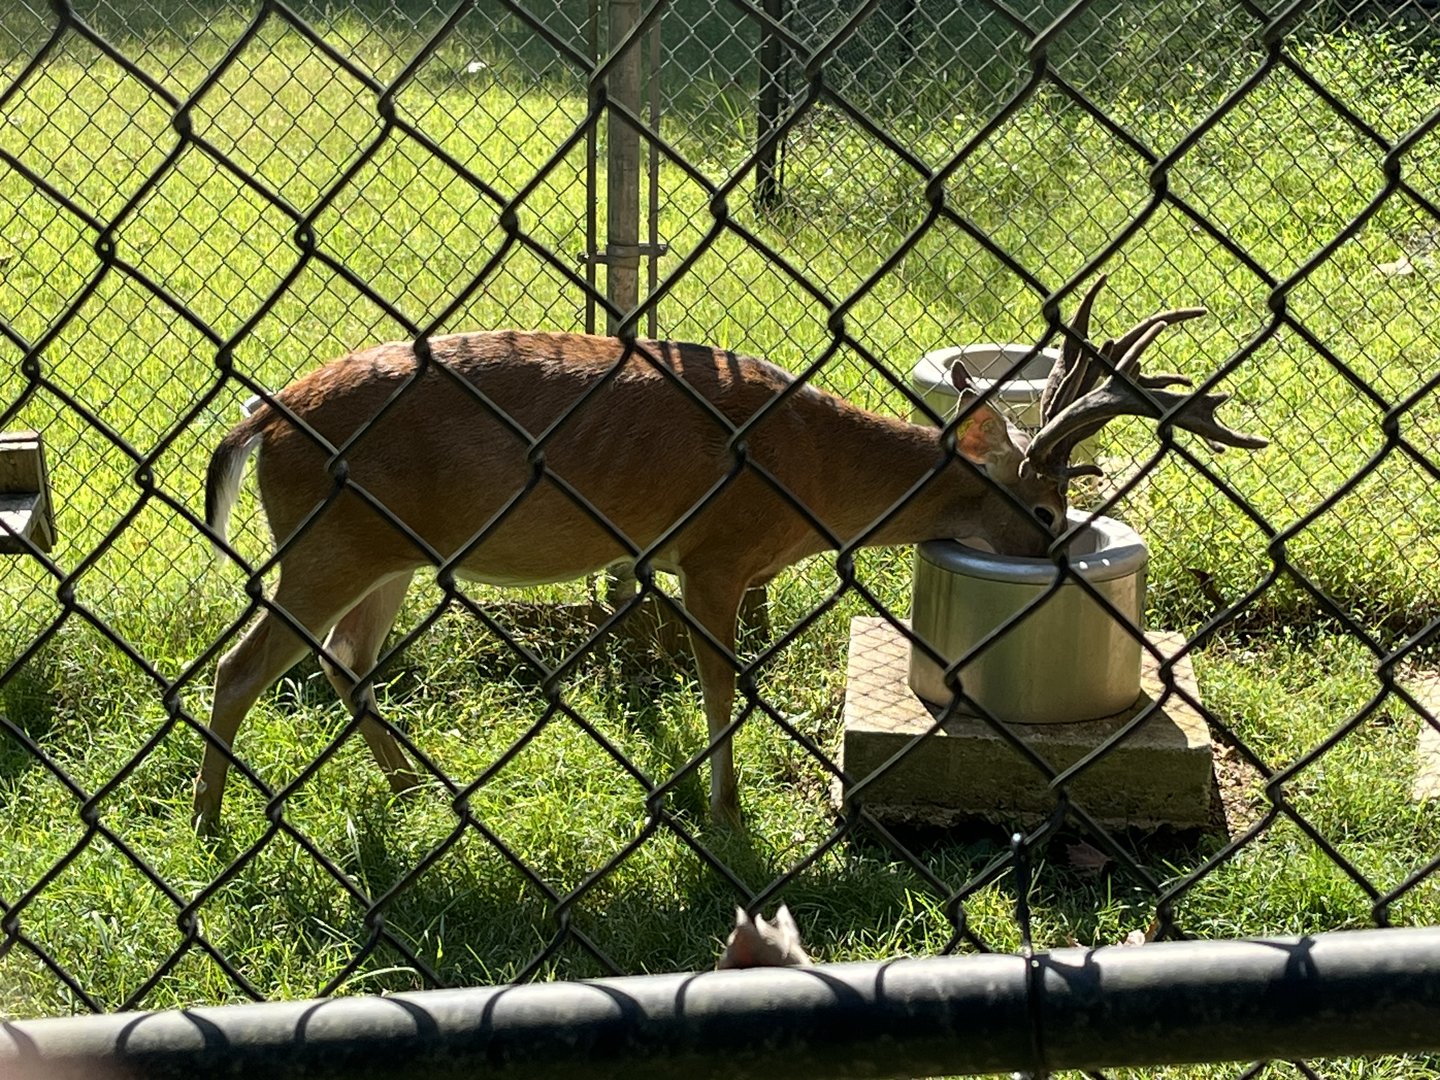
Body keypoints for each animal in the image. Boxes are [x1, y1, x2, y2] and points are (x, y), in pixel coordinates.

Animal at [193, 275, 1265, 832]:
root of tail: (259, 422)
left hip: (391, 556)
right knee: (243, 666)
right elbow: (720, 689)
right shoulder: (711, 556)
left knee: (346, 660)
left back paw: (414, 789)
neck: (810, 470)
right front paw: (726, 807)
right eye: (1042, 509)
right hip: (330, 541)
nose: (1062, 552)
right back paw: (209, 822)